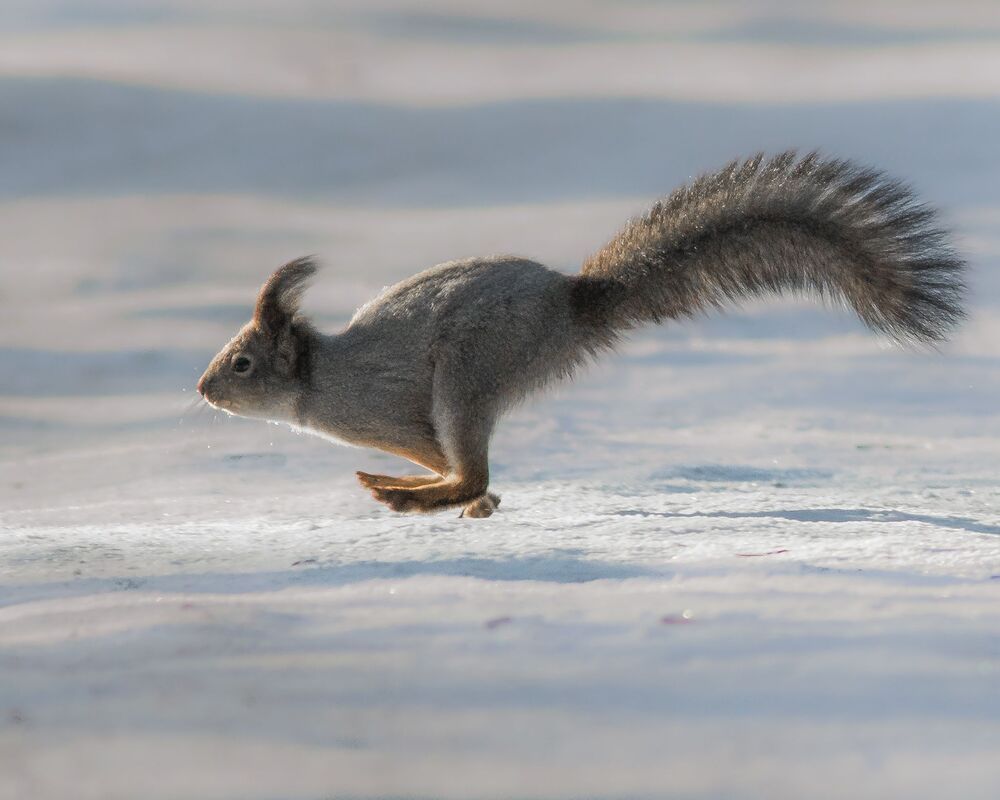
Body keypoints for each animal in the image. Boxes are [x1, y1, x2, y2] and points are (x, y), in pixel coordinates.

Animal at [197, 151, 966, 518]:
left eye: (242, 364)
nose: (202, 391)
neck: (322, 383)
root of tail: (568, 303)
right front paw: (463, 500)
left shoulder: (399, 413)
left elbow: (463, 470)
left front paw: (448, 492)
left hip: (469, 374)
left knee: (471, 461)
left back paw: (407, 492)